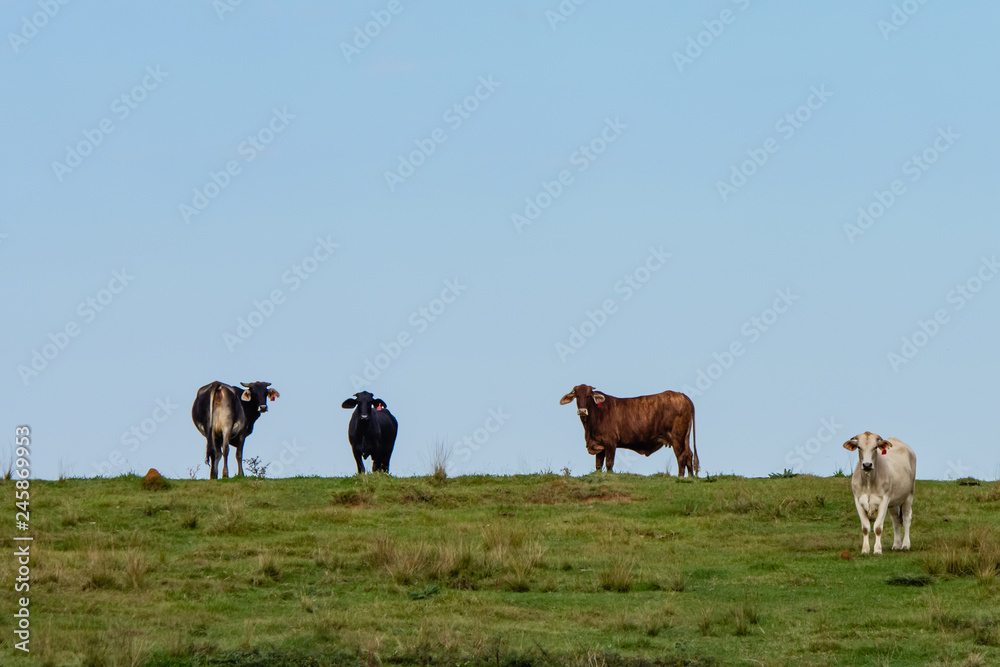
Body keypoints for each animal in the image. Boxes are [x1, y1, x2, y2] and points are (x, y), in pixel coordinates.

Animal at [560, 384, 698, 476]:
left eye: (589, 396)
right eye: (577, 395)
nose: (582, 411)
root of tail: (682, 395)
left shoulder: (610, 442)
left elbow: (609, 463)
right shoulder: (599, 444)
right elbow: (598, 465)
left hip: (677, 438)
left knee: (681, 457)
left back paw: (680, 478)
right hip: (685, 438)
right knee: (689, 455)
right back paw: (690, 478)